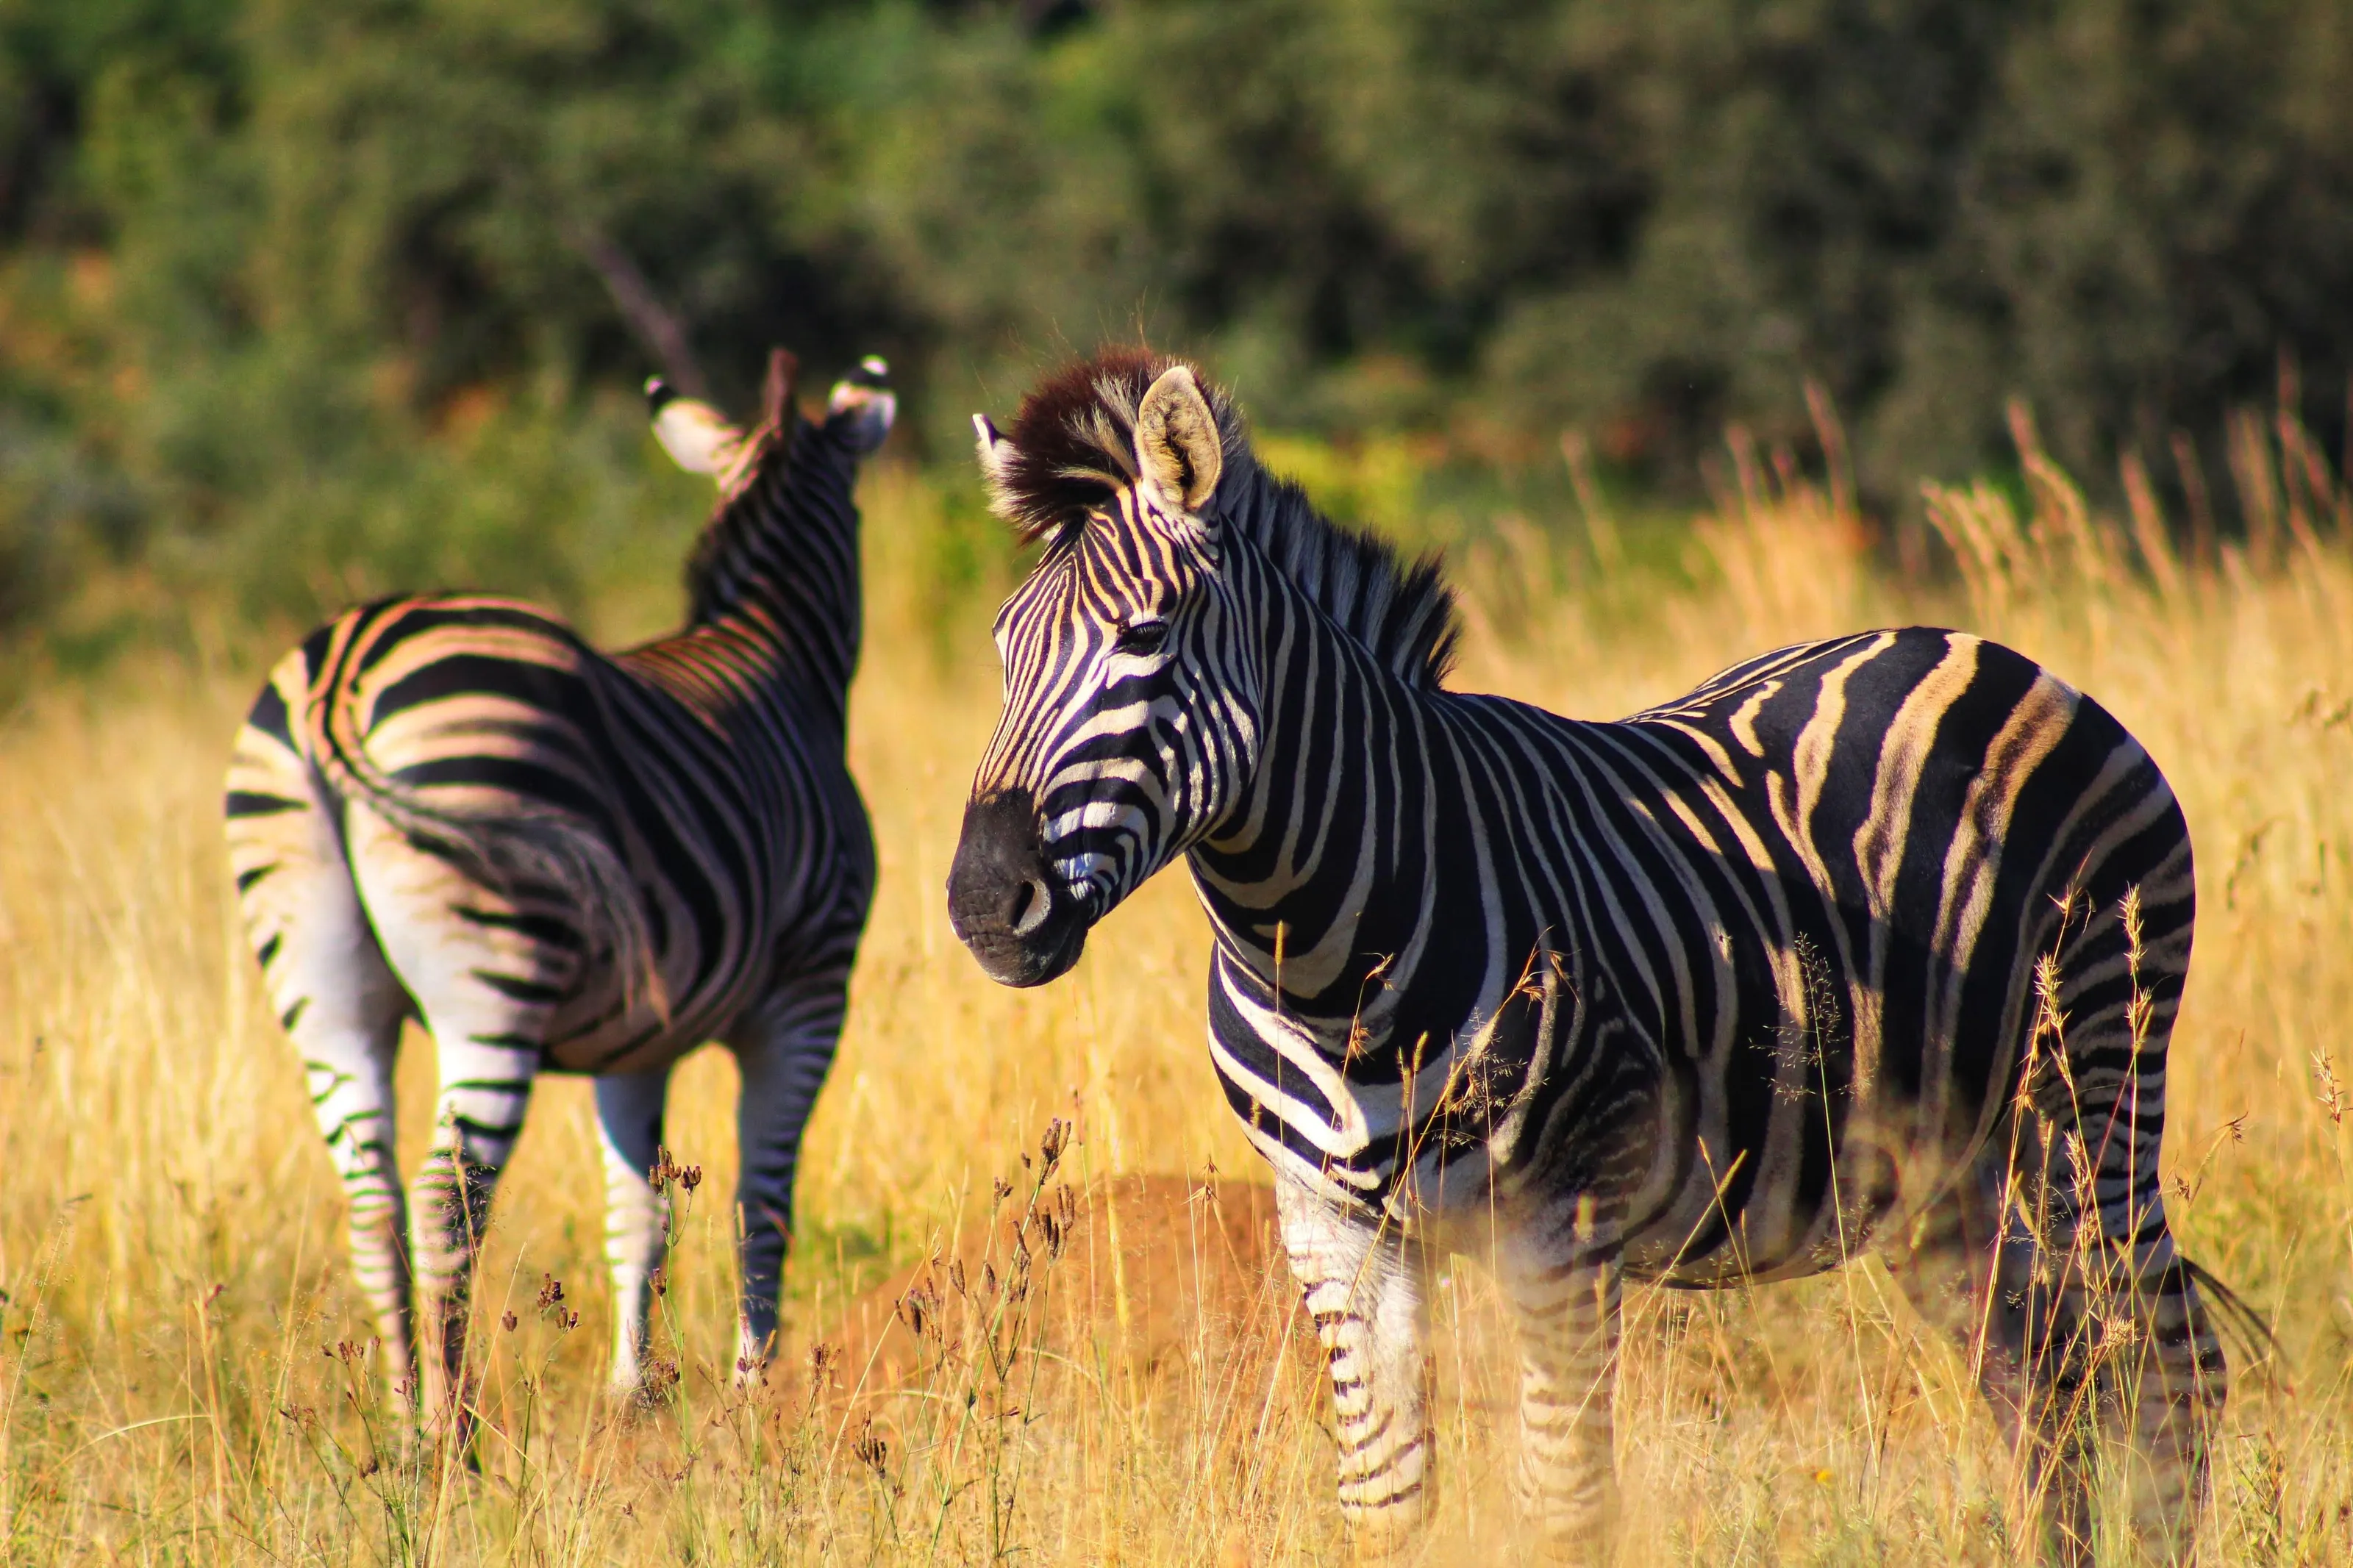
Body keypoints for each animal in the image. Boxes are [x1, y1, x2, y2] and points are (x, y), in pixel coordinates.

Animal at [225, 349, 893, 1434]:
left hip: (318, 977)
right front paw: (754, 1390)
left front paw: (633, 1392)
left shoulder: (639, 1039)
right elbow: (762, 1200)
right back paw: (448, 1433)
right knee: (447, 1201)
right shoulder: (808, 991)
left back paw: (403, 1418)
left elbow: (640, 1212)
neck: (775, 652)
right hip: (493, 975)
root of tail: (338, 674)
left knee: (372, 1200)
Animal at [943, 350, 2235, 1562]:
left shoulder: (1559, 1227)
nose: (980, 904)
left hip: (2088, 1095)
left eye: (1146, 637)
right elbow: (1386, 1504)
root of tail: (1985, 648)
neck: (1326, 960)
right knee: (2043, 1380)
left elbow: (1564, 1505)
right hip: (1946, 1172)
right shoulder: (1333, 1231)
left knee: (2168, 1364)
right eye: (999, 650)